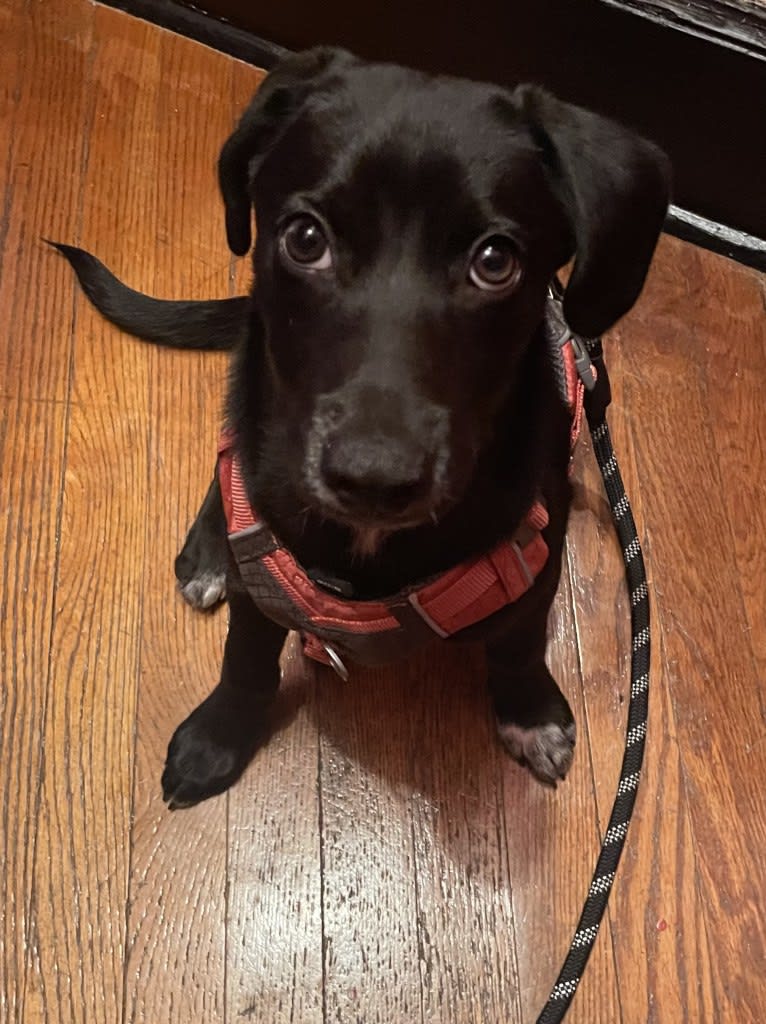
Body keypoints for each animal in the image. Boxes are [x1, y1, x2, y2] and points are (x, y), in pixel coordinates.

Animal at [55, 46, 671, 806]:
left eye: (496, 261)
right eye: (304, 239)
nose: (374, 478)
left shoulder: (535, 555)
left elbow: (521, 643)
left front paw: (530, 713)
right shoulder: (267, 575)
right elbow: (245, 656)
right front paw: (218, 736)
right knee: (230, 457)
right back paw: (210, 549)